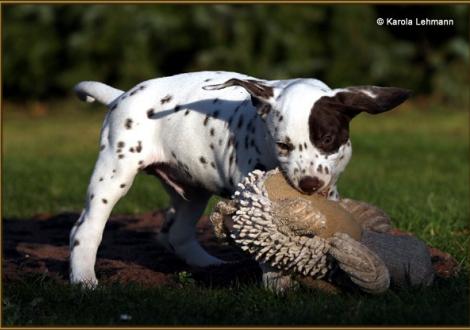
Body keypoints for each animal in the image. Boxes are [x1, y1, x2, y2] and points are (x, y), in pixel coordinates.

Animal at [70, 70, 412, 286]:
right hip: (114, 174)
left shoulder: (332, 191)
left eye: (327, 139)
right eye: (283, 145)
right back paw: (84, 278)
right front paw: (279, 282)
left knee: (177, 233)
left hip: (193, 190)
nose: (309, 185)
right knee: (85, 229)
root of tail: (121, 96)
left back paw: (209, 264)